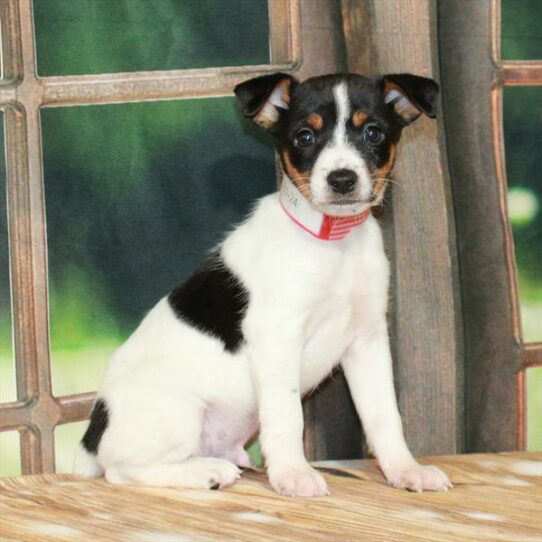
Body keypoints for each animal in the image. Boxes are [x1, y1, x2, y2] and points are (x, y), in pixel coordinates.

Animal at [73, 72, 454, 498]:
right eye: (305, 136)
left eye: (373, 132)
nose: (341, 179)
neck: (333, 243)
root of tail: (91, 438)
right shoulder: (278, 337)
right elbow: (288, 416)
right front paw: (293, 474)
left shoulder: (367, 339)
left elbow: (384, 415)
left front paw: (405, 469)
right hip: (177, 411)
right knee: (122, 471)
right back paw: (207, 472)